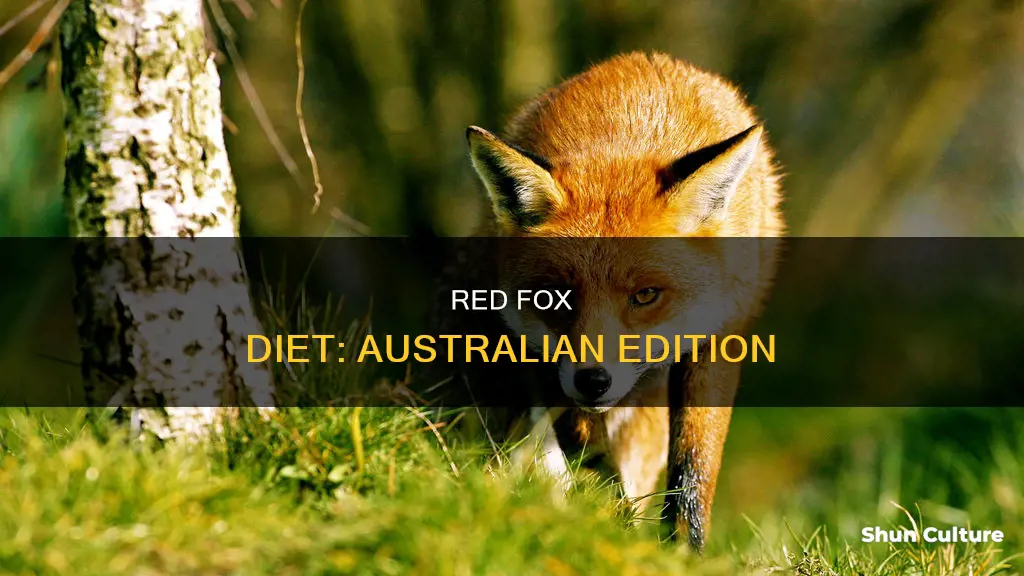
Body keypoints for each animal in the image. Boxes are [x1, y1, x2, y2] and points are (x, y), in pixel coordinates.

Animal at [460, 51, 783, 551]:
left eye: (645, 295)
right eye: (554, 296)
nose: (595, 380)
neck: (629, 124)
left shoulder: (721, 335)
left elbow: (694, 464)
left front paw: (685, 549)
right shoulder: (538, 348)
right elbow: (578, 438)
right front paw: (608, 514)